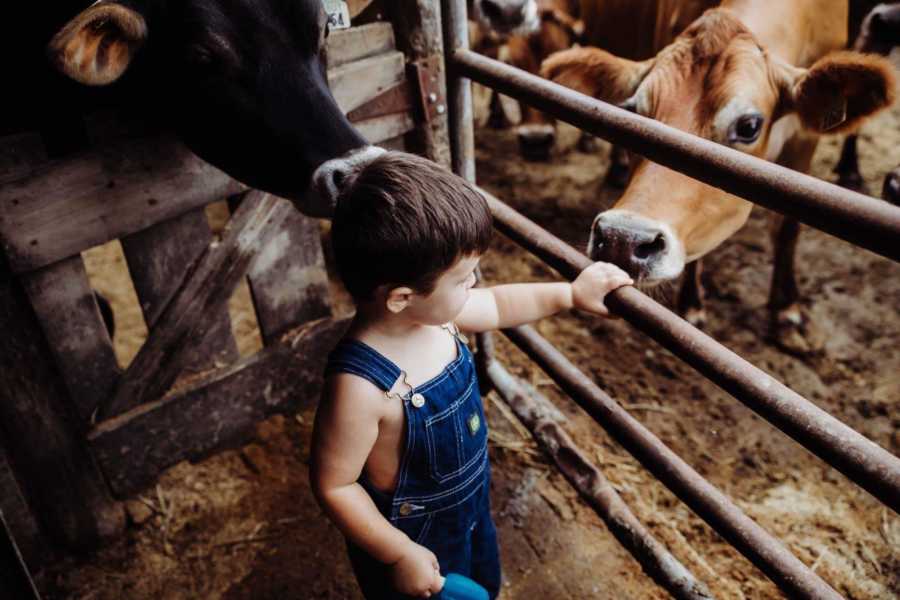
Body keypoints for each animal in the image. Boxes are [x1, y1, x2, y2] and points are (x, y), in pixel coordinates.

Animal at [544, 1, 896, 352]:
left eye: (749, 126)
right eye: (632, 111)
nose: (621, 239)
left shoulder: (803, 141)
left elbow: (786, 227)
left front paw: (786, 312)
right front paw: (691, 304)